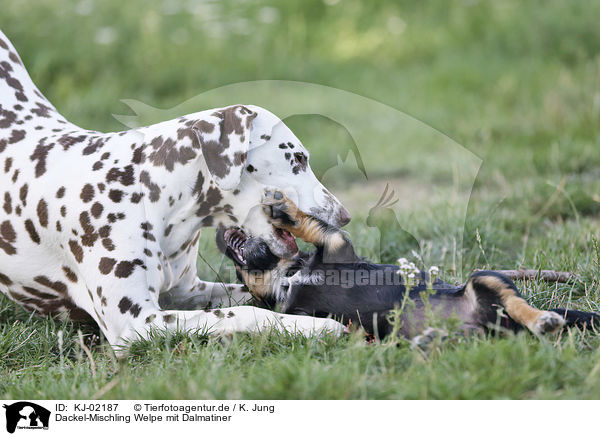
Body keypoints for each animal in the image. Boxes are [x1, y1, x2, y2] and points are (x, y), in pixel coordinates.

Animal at [0, 29, 350, 350]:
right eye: (298, 159)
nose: (345, 215)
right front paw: (316, 326)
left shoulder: (187, 292)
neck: (149, 196)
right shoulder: (136, 322)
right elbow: (249, 312)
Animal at [217, 189, 600, 338]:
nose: (221, 233)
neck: (291, 275)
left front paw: (282, 209)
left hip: (485, 278)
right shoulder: (297, 310)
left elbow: (309, 223)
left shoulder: (337, 246)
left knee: (520, 305)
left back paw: (544, 320)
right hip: (474, 325)